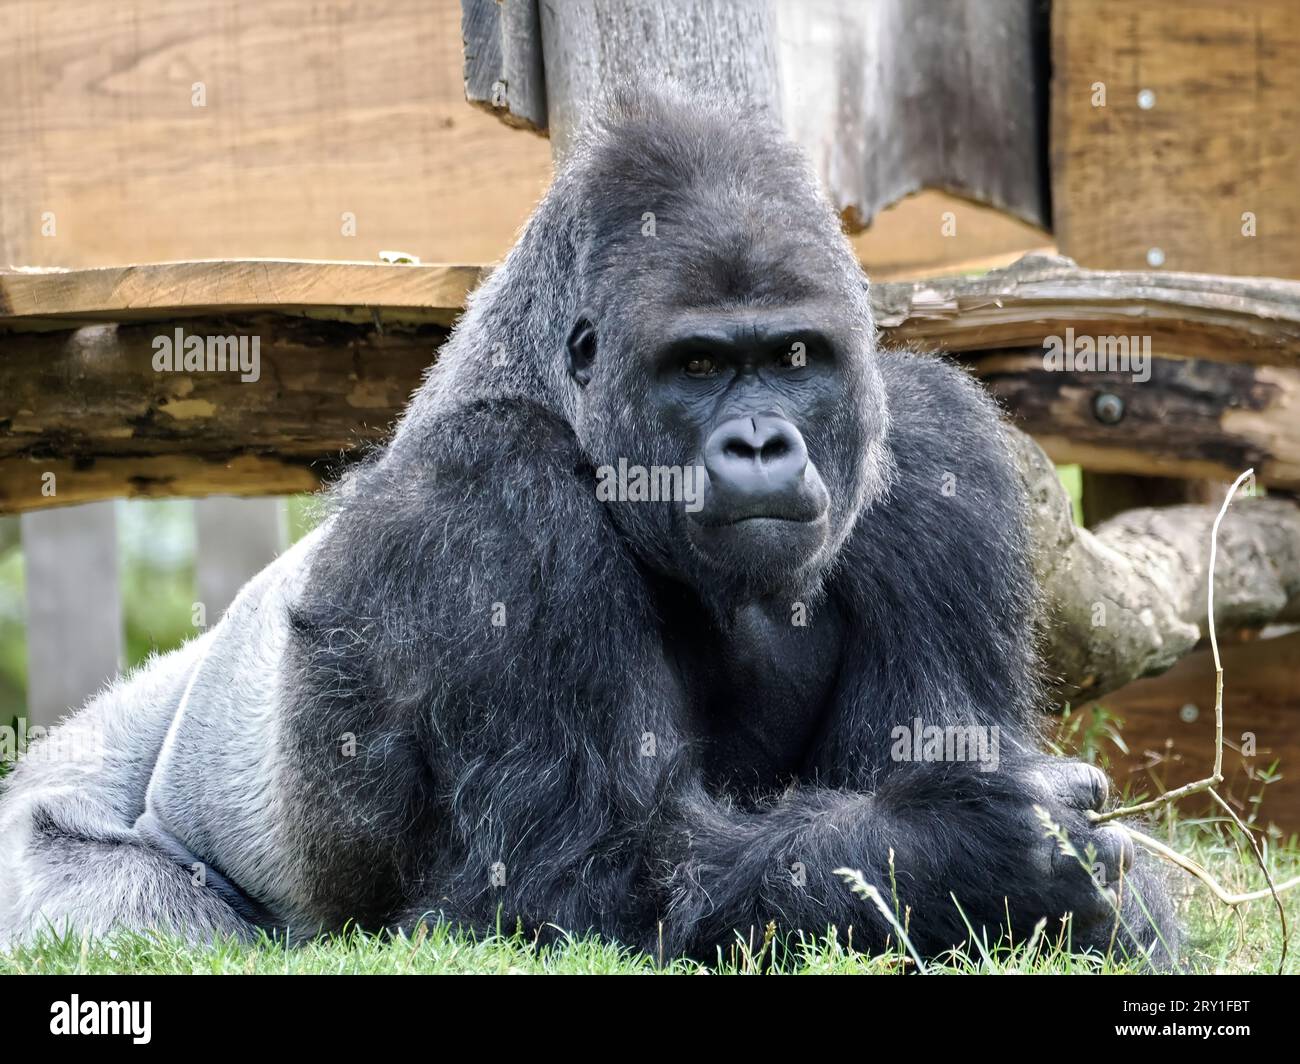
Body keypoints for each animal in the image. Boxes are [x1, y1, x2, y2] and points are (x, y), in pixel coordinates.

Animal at [0, 91, 1180, 967]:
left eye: (794, 356)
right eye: (696, 365)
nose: (762, 443)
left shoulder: (937, 453)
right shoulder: (490, 492)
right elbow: (573, 888)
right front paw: (974, 854)